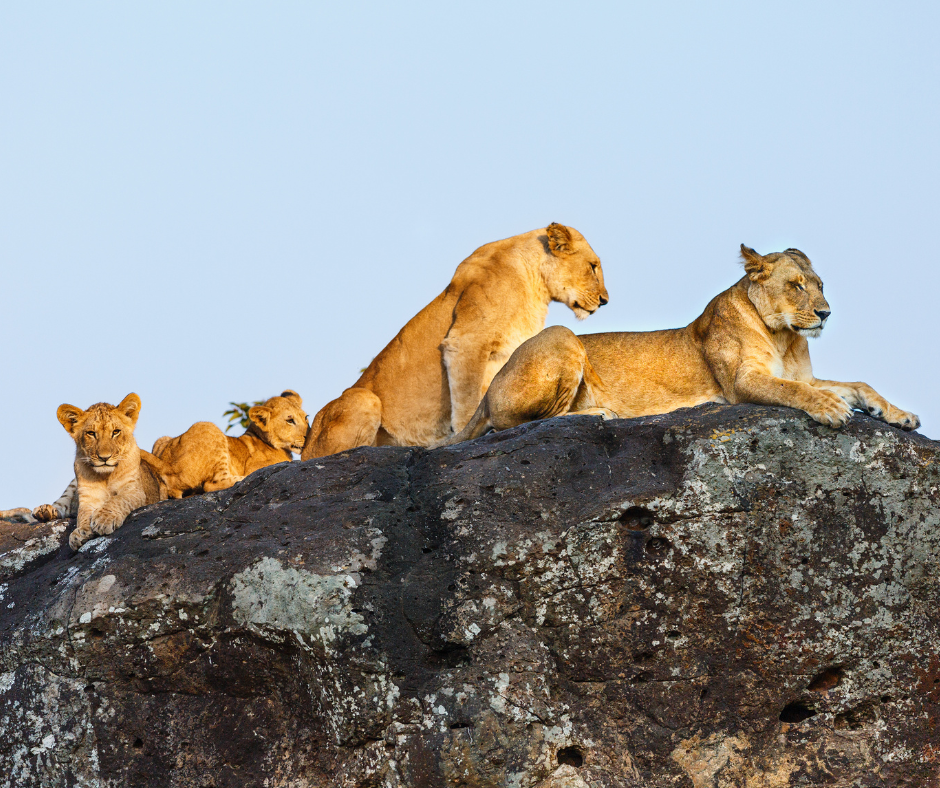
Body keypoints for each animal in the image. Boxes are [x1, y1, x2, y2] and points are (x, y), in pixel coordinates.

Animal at [56, 393, 168, 551]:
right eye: (91, 433)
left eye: (115, 432)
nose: (104, 458)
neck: (106, 476)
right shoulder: (88, 496)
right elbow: (82, 513)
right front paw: (81, 532)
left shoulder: (135, 491)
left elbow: (118, 499)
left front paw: (104, 519)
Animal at [152, 390, 307, 498]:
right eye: (290, 420)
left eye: (306, 417)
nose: (309, 435)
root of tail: (166, 465)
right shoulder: (253, 465)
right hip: (208, 426)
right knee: (210, 485)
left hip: (161, 441)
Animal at [300, 223, 609, 459]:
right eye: (593, 266)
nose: (605, 301)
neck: (536, 283)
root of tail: (305, 450)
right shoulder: (466, 342)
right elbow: (468, 400)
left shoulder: (504, 355)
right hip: (363, 398)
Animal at [439, 245, 919, 444]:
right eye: (797, 285)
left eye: (820, 285)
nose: (825, 313)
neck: (784, 336)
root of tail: (486, 394)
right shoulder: (741, 383)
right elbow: (794, 390)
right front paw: (831, 410)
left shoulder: (808, 373)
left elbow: (857, 383)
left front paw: (899, 415)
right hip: (560, 336)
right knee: (518, 423)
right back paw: (599, 413)